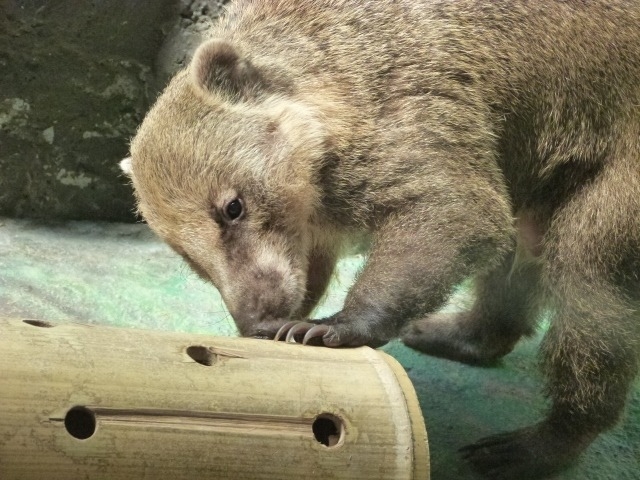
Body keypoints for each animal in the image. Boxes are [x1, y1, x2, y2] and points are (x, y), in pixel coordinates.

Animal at [121, 1, 640, 478]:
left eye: (232, 207)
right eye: (189, 258)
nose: (256, 319)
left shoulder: (412, 103)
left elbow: (453, 211)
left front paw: (327, 326)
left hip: (614, 162)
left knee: (588, 287)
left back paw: (529, 445)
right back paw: (452, 332)